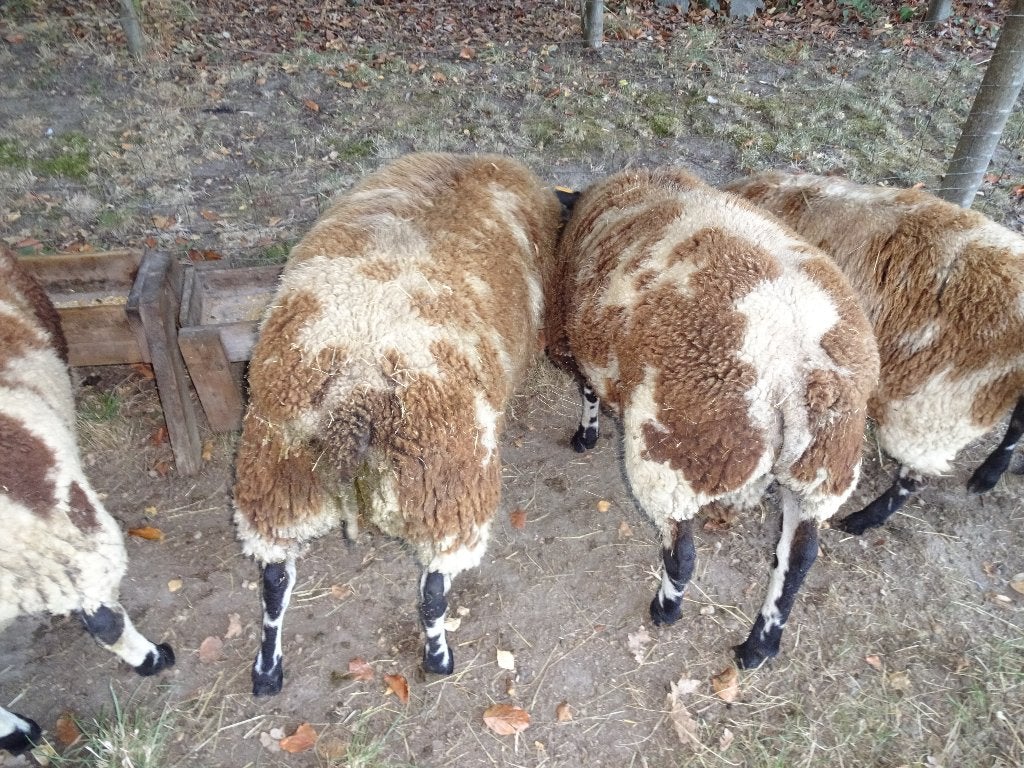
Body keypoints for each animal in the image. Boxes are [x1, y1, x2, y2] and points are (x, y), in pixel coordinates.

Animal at [233, 152, 564, 695]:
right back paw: (439, 658)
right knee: (433, 589)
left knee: (275, 577)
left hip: (276, 471)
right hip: (450, 487)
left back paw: (267, 671)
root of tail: (356, 387)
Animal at [546, 167, 879, 668]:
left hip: (673, 456)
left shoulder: (576, 342)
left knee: (681, 553)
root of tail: (795, 367)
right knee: (798, 560)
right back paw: (758, 646)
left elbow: (586, 393)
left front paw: (585, 436)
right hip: (824, 471)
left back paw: (666, 609)